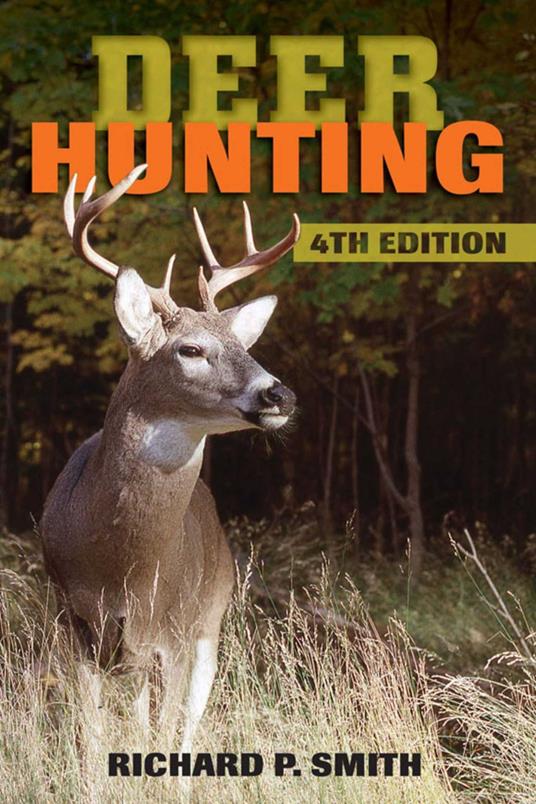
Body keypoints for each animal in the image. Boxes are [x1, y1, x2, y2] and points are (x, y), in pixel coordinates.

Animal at [40, 164, 299, 751]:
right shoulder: (76, 625)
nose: (280, 395)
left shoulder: (175, 632)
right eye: (191, 349)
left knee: (186, 726)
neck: (122, 568)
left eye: (245, 347)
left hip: (211, 621)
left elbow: (163, 734)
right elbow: (94, 738)